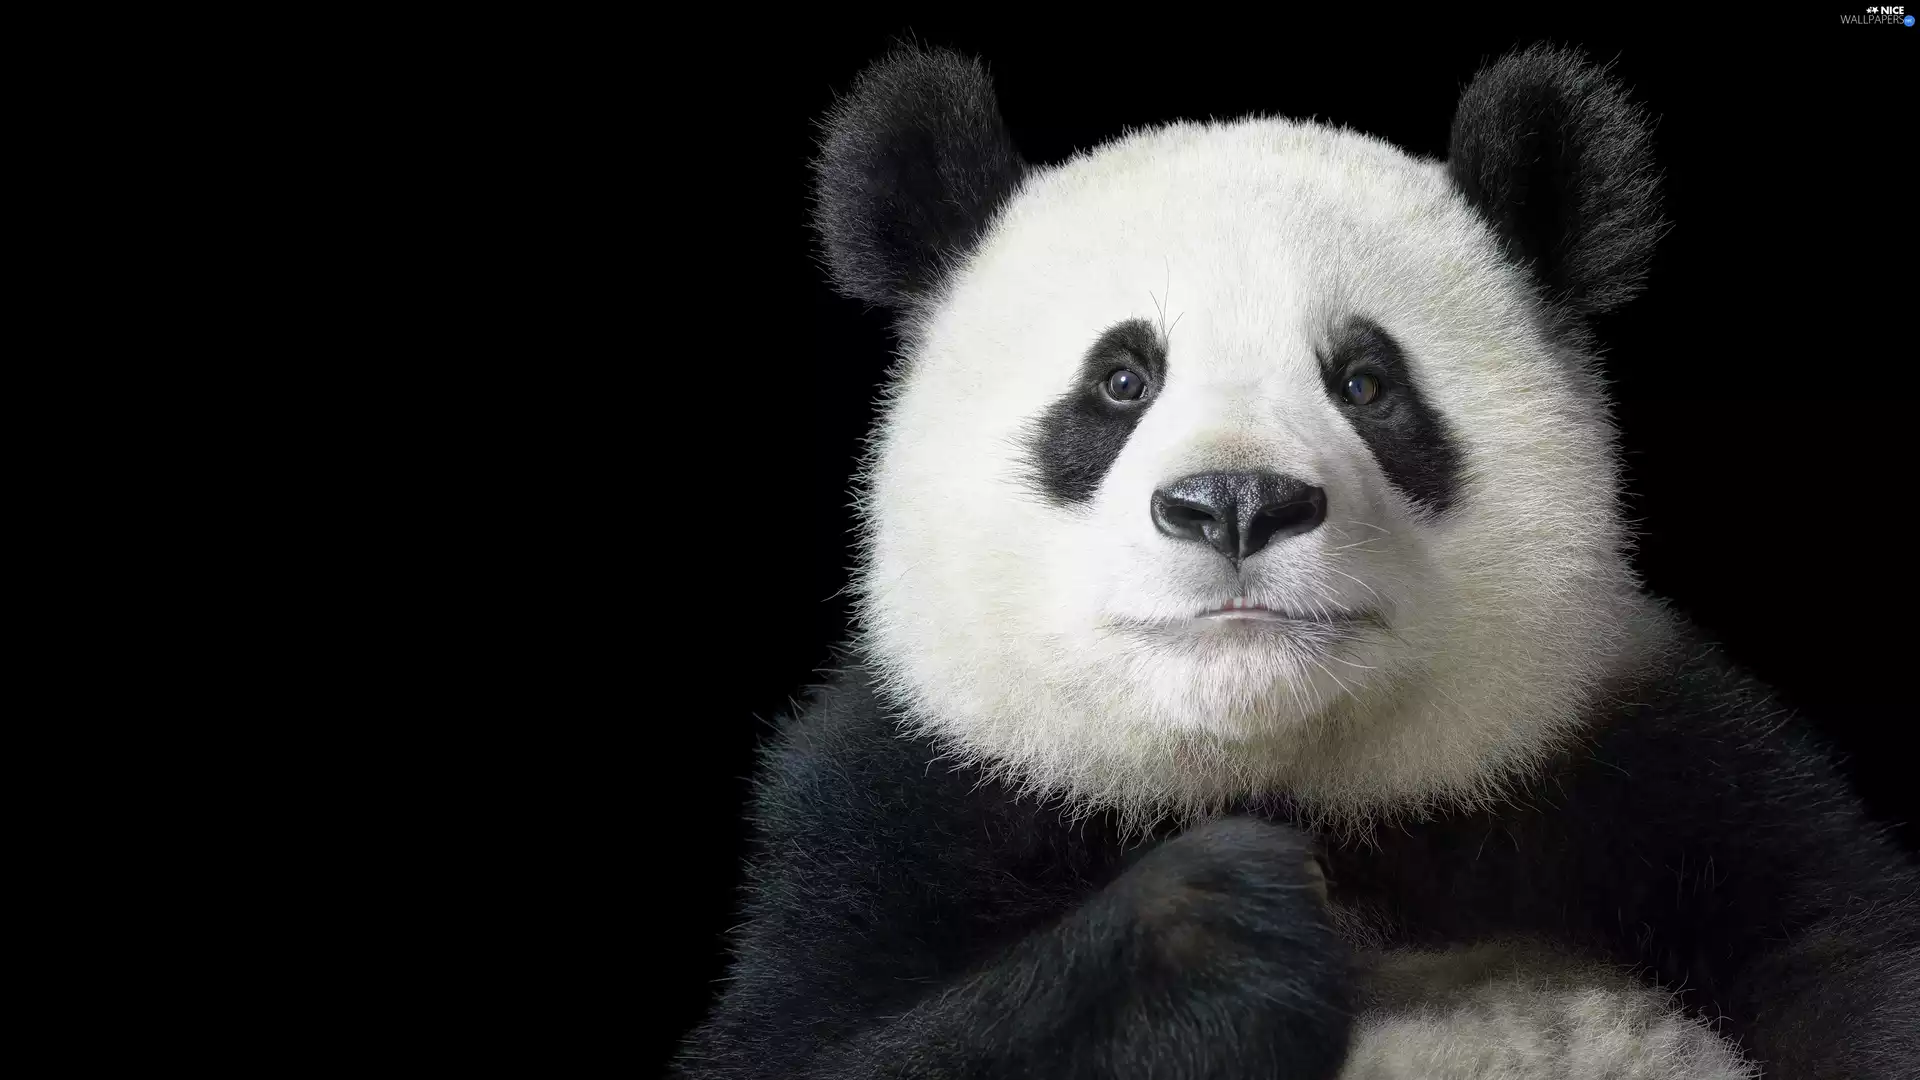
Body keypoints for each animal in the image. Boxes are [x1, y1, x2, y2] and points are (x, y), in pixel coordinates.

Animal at [674, 43, 1919, 1079]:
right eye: (1120, 382)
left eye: (1366, 382)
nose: (1237, 503)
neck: (1281, 772)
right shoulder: (898, 809)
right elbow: (803, 1045)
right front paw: (1219, 929)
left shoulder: (1661, 767)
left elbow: (1848, 951)